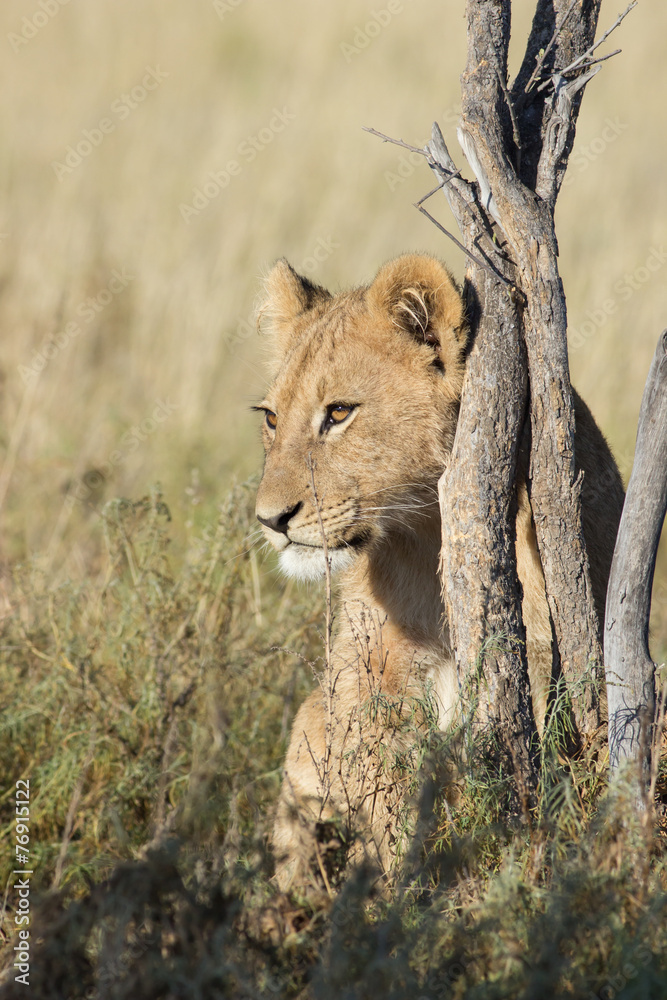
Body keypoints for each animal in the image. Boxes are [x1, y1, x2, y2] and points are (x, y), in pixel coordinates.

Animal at [254, 253, 624, 890]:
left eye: (339, 413)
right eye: (272, 419)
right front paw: (399, 892)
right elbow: (386, 797)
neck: (426, 534)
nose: (270, 520)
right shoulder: (365, 681)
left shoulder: (541, 659)